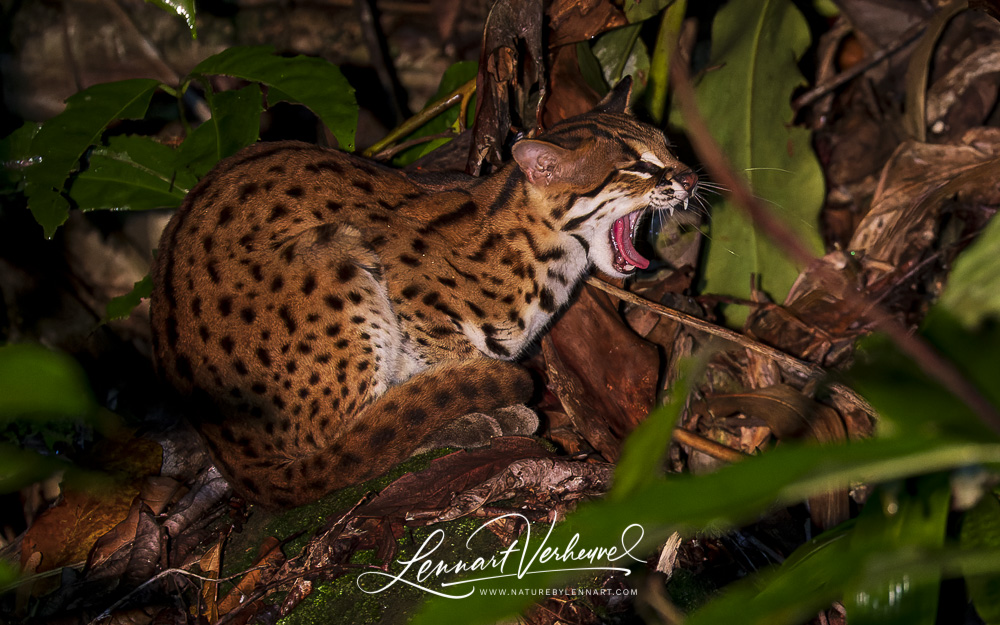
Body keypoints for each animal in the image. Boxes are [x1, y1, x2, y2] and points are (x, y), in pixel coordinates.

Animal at [150, 79, 696, 508]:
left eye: (670, 149)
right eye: (637, 168)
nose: (690, 176)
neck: (549, 255)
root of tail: (230, 455)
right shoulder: (407, 285)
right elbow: (445, 357)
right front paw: (479, 405)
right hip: (334, 256)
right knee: (342, 447)